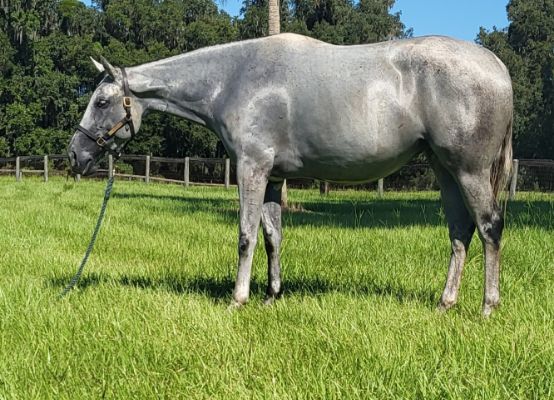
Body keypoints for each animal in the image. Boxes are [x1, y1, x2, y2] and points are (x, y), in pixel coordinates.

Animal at [67, 34, 512, 316]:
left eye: (102, 101)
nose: (75, 154)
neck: (233, 79)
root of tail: (496, 66)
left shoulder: (251, 167)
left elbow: (246, 235)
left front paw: (239, 299)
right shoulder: (274, 177)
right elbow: (272, 236)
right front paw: (271, 295)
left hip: (469, 170)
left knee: (489, 227)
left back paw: (488, 307)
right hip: (445, 170)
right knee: (459, 232)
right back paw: (445, 303)